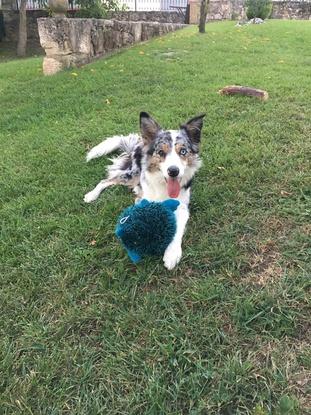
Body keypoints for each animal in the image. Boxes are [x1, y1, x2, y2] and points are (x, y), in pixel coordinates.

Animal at [83, 112, 206, 272]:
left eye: (183, 151)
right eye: (161, 152)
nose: (173, 171)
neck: (163, 186)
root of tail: (138, 143)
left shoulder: (183, 207)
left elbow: (177, 229)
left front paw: (172, 254)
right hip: (132, 174)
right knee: (106, 180)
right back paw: (91, 195)